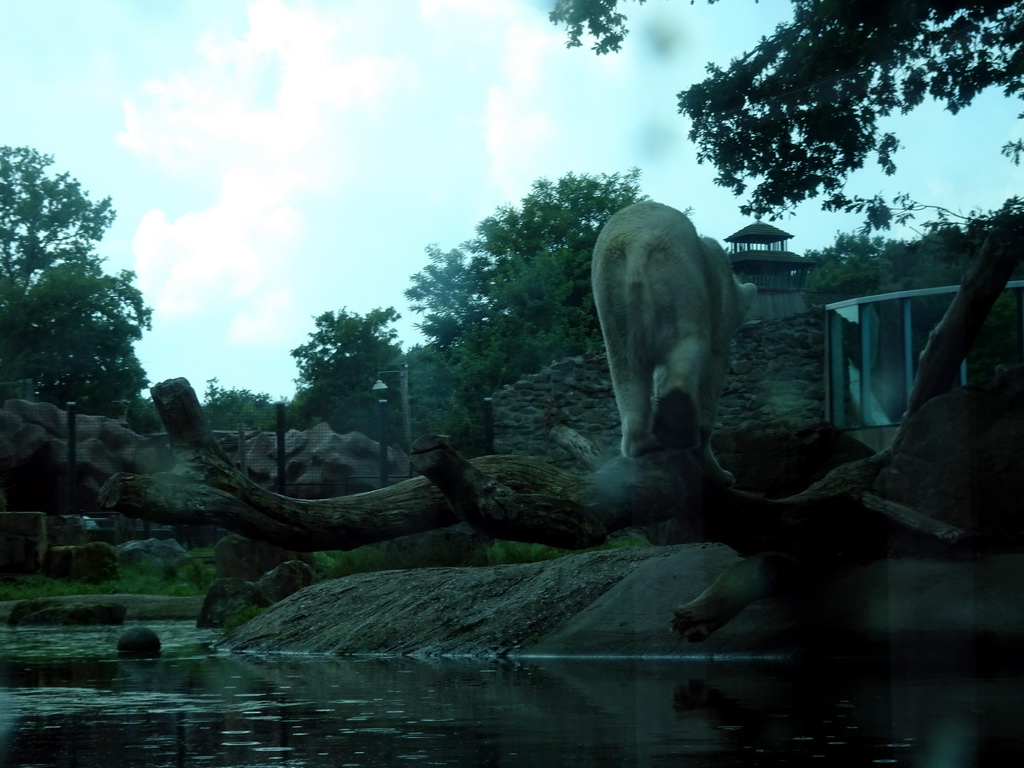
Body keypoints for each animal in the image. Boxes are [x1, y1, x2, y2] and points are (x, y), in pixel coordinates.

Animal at [593, 201, 753, 483]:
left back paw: (645, 440)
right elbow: (713, 370)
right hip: (677, 278)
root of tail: (637, 244)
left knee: (625, 368)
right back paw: (676, 428)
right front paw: (722, 473)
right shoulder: (719, 304)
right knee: (689, 344)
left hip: (611, 296)